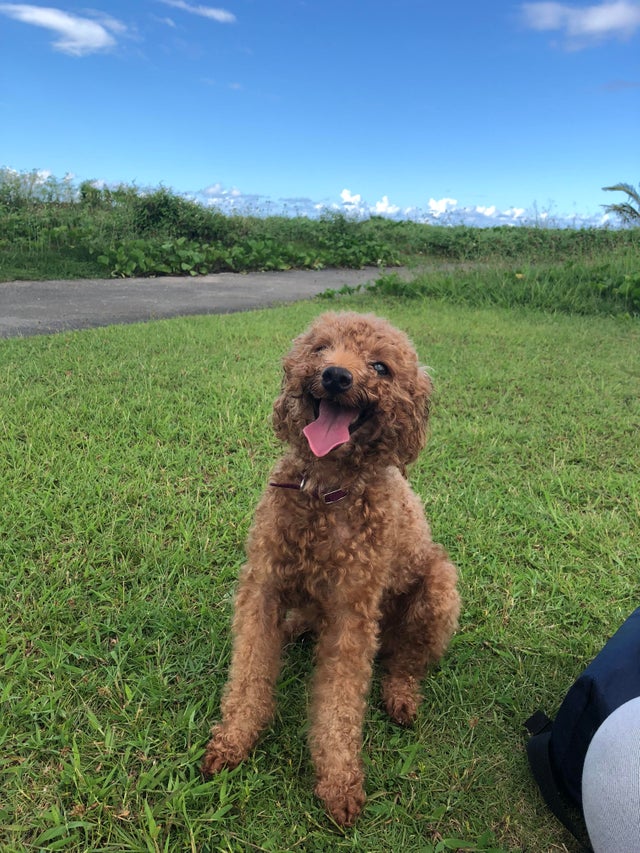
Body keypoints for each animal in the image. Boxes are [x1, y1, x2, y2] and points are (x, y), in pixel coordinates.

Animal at [204, 310, 460, 824]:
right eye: (321, 348)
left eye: (380, 367)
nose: (336, 376)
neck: (324, 490)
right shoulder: (263, 587)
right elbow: (249, 671)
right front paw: (234, 739)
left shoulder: (351, 614)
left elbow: (340, 702)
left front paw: (339, 780)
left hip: (439, 590)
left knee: (407, 660)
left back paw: (401, 697)